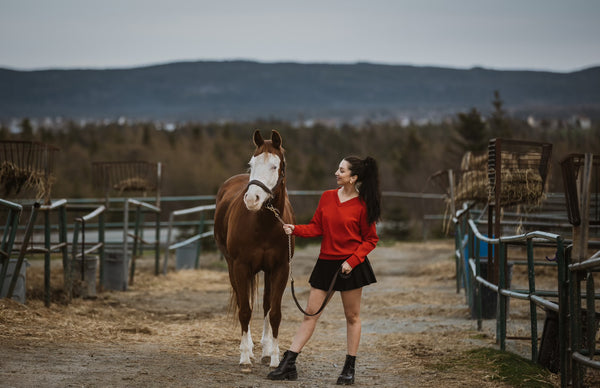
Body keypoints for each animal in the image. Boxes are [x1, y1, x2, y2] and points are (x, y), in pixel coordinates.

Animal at [213, 130, 296, 370]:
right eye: (252, 163)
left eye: (275, 166)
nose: (251, 199)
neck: (265, 224)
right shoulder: (240, 267)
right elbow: (245, 310)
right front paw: (244, 356)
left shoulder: (280, 269)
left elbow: (274, 312)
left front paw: (275, 358)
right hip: (232, 267)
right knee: (244, 302)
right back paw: (249, 349)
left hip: (267, 272)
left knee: (267, 304)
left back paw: (266, 350)